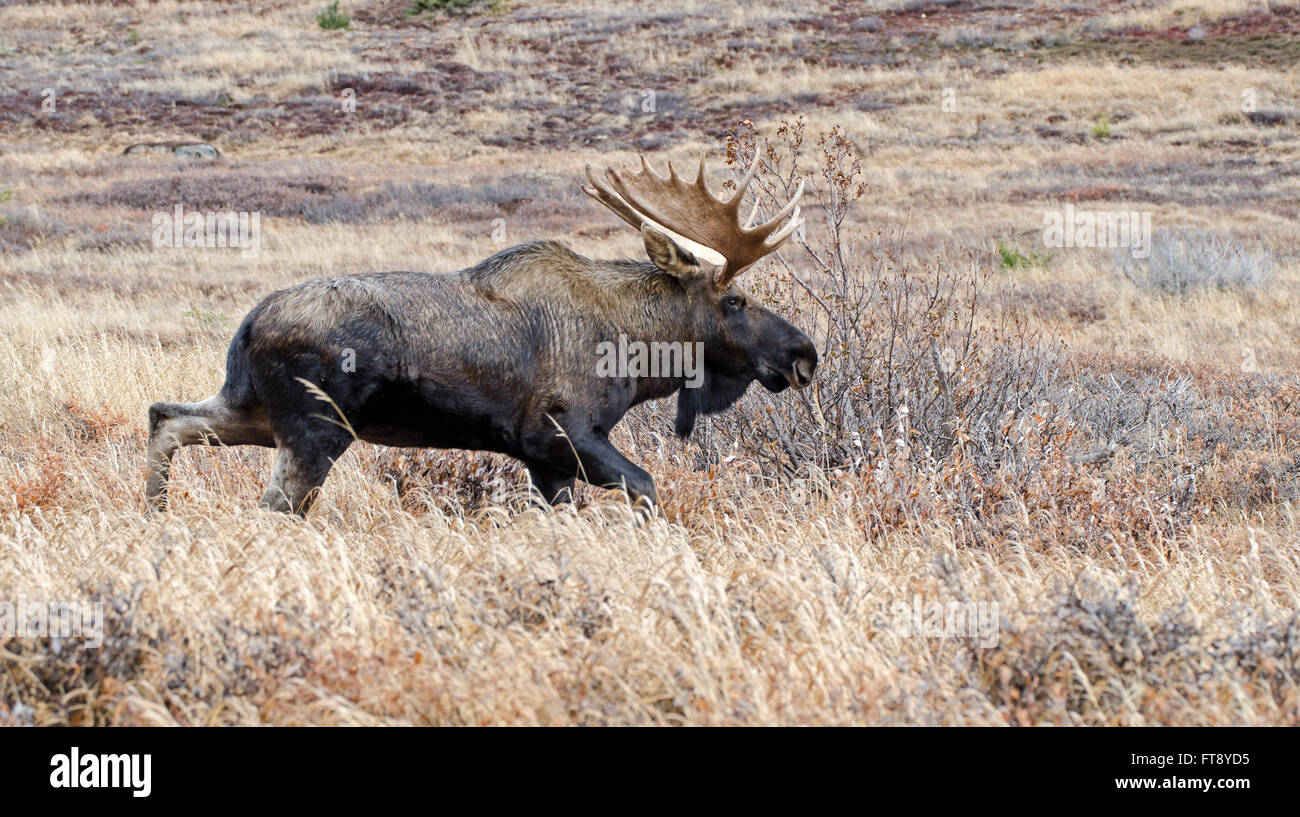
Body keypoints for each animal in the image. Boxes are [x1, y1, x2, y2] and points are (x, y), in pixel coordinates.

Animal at [147, 154, 816, 512]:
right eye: (735, 299)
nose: (804, 353)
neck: (635, 350)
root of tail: (247, 325)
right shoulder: (559, 434)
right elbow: (647, 489)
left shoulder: (543, 461)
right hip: (315, 430)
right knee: (269, 508)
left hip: (257, 412)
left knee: (166, 417)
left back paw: (154, 515)